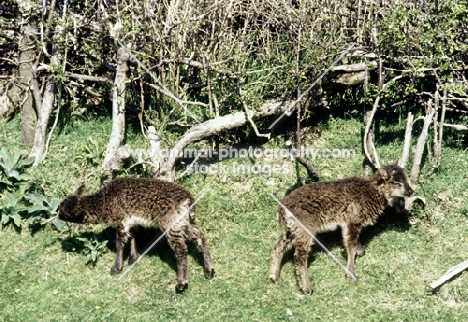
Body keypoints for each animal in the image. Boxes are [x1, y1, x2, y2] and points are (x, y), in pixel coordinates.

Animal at [57, 177, 215, 294]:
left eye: (64, 212)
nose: (57, 214)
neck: (103, 202)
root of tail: (188, 200)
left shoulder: (120, 219)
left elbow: (119, 243)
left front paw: (116, 268)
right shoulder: (130, 220)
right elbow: (132, 235)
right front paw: (133, 258)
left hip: (171, 223)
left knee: (181, 249)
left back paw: (181, 284)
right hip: (186, 222)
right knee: (200, 236)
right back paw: (209, 270)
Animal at [270, 165, 414, 294]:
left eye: (407, 179)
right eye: (396, 183)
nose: (411, 192)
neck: (371, 191)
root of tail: (283, 207)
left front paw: (360, 251)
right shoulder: (352, 220)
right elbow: (350, 245)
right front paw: (351, 275)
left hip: (294, 227)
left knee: (280, 244)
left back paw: (275, 277)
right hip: (305, 226)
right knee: (299, 255)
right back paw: (306, 288)